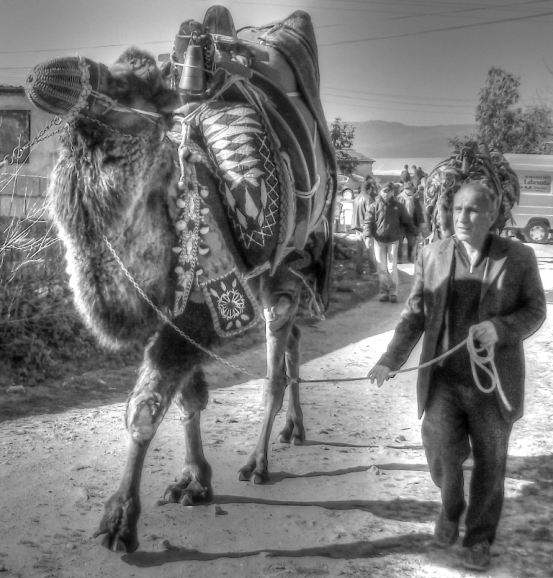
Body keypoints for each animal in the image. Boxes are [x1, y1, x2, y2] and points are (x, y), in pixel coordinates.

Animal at [25, 6, 334, 552]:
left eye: (128, 82)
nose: (49, 75)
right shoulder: (170, 307)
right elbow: (190, 398)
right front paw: (194, 481)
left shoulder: (204, 304)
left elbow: (147, 406)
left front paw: (120, 520)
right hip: (268, 274)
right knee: (293, 337)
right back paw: (292, 430)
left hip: (288, 263)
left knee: (276, 358)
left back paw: (258, 463)